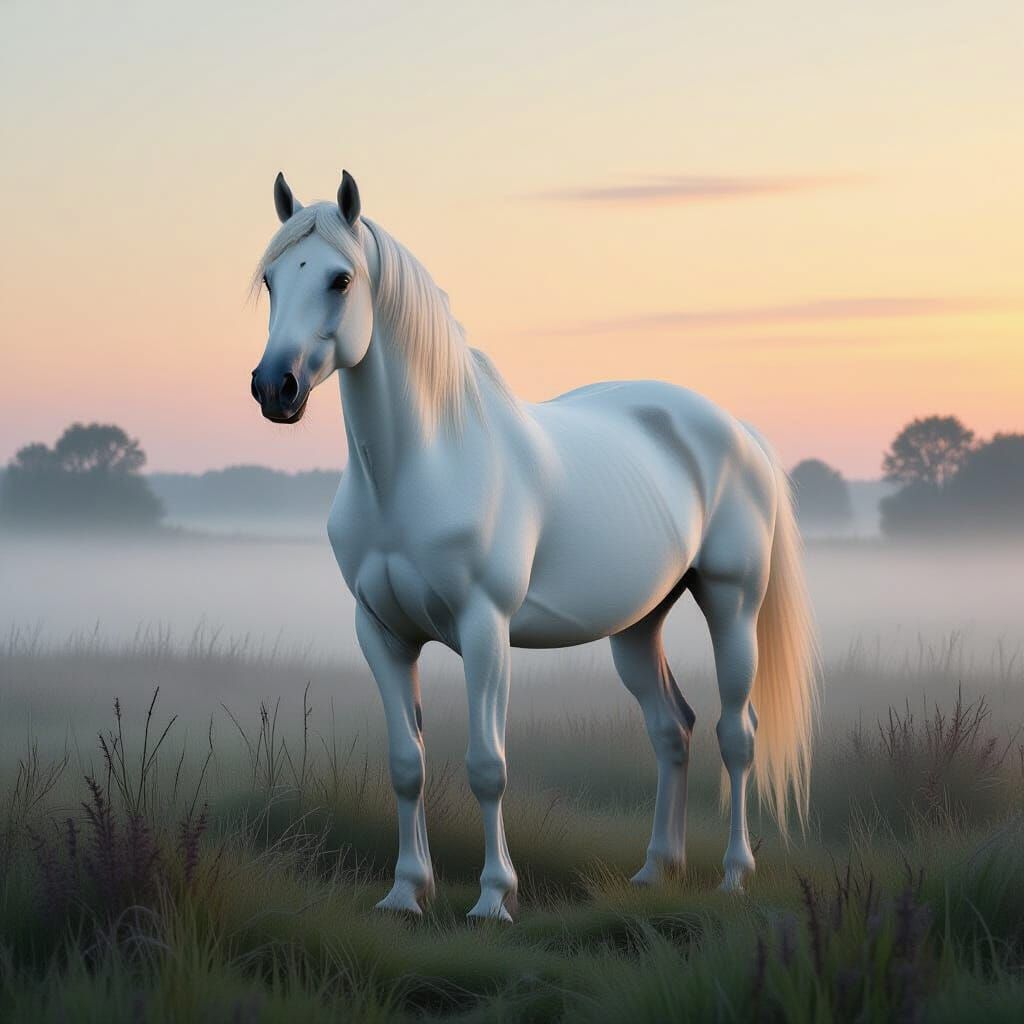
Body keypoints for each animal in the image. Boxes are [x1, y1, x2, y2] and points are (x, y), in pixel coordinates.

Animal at [249, 171, 818, 922]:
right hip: (639, 625)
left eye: (340, 279)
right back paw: (655, 870)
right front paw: (406, 892)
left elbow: (488, 766)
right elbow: (407, 765)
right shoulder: (382, 633)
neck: (425, 465)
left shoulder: (484, 630)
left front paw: (494, 898)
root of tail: (735, 429)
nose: (273, 388)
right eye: (270, 279)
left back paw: (732, 874)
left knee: (736, 733)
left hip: (732, 605)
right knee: (672, 729)